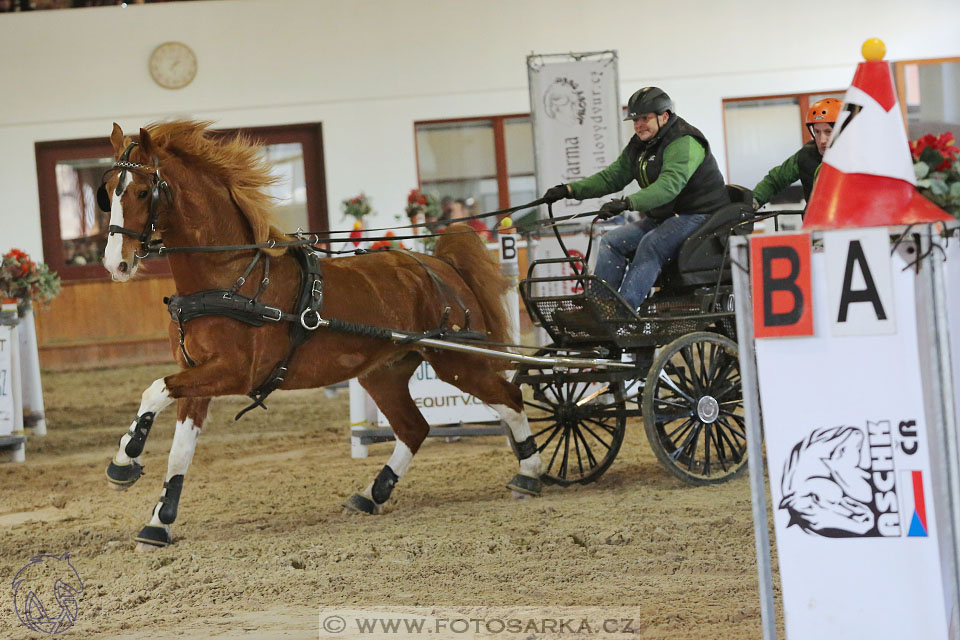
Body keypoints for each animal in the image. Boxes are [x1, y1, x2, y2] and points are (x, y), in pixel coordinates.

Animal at [100, 121, 544, 552]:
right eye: (107, 192)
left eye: (142, 190)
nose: (114, 264)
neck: (232, 278)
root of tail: (442, 264)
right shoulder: (196, 376)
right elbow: (179, 451)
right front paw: (158, 522)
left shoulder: (234, 373)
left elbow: (154, 390)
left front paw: (125, 460)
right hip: (383, 373)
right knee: (414, 428)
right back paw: (371, 495)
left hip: (458, 360)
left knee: (508, 398)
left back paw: (530, 474)